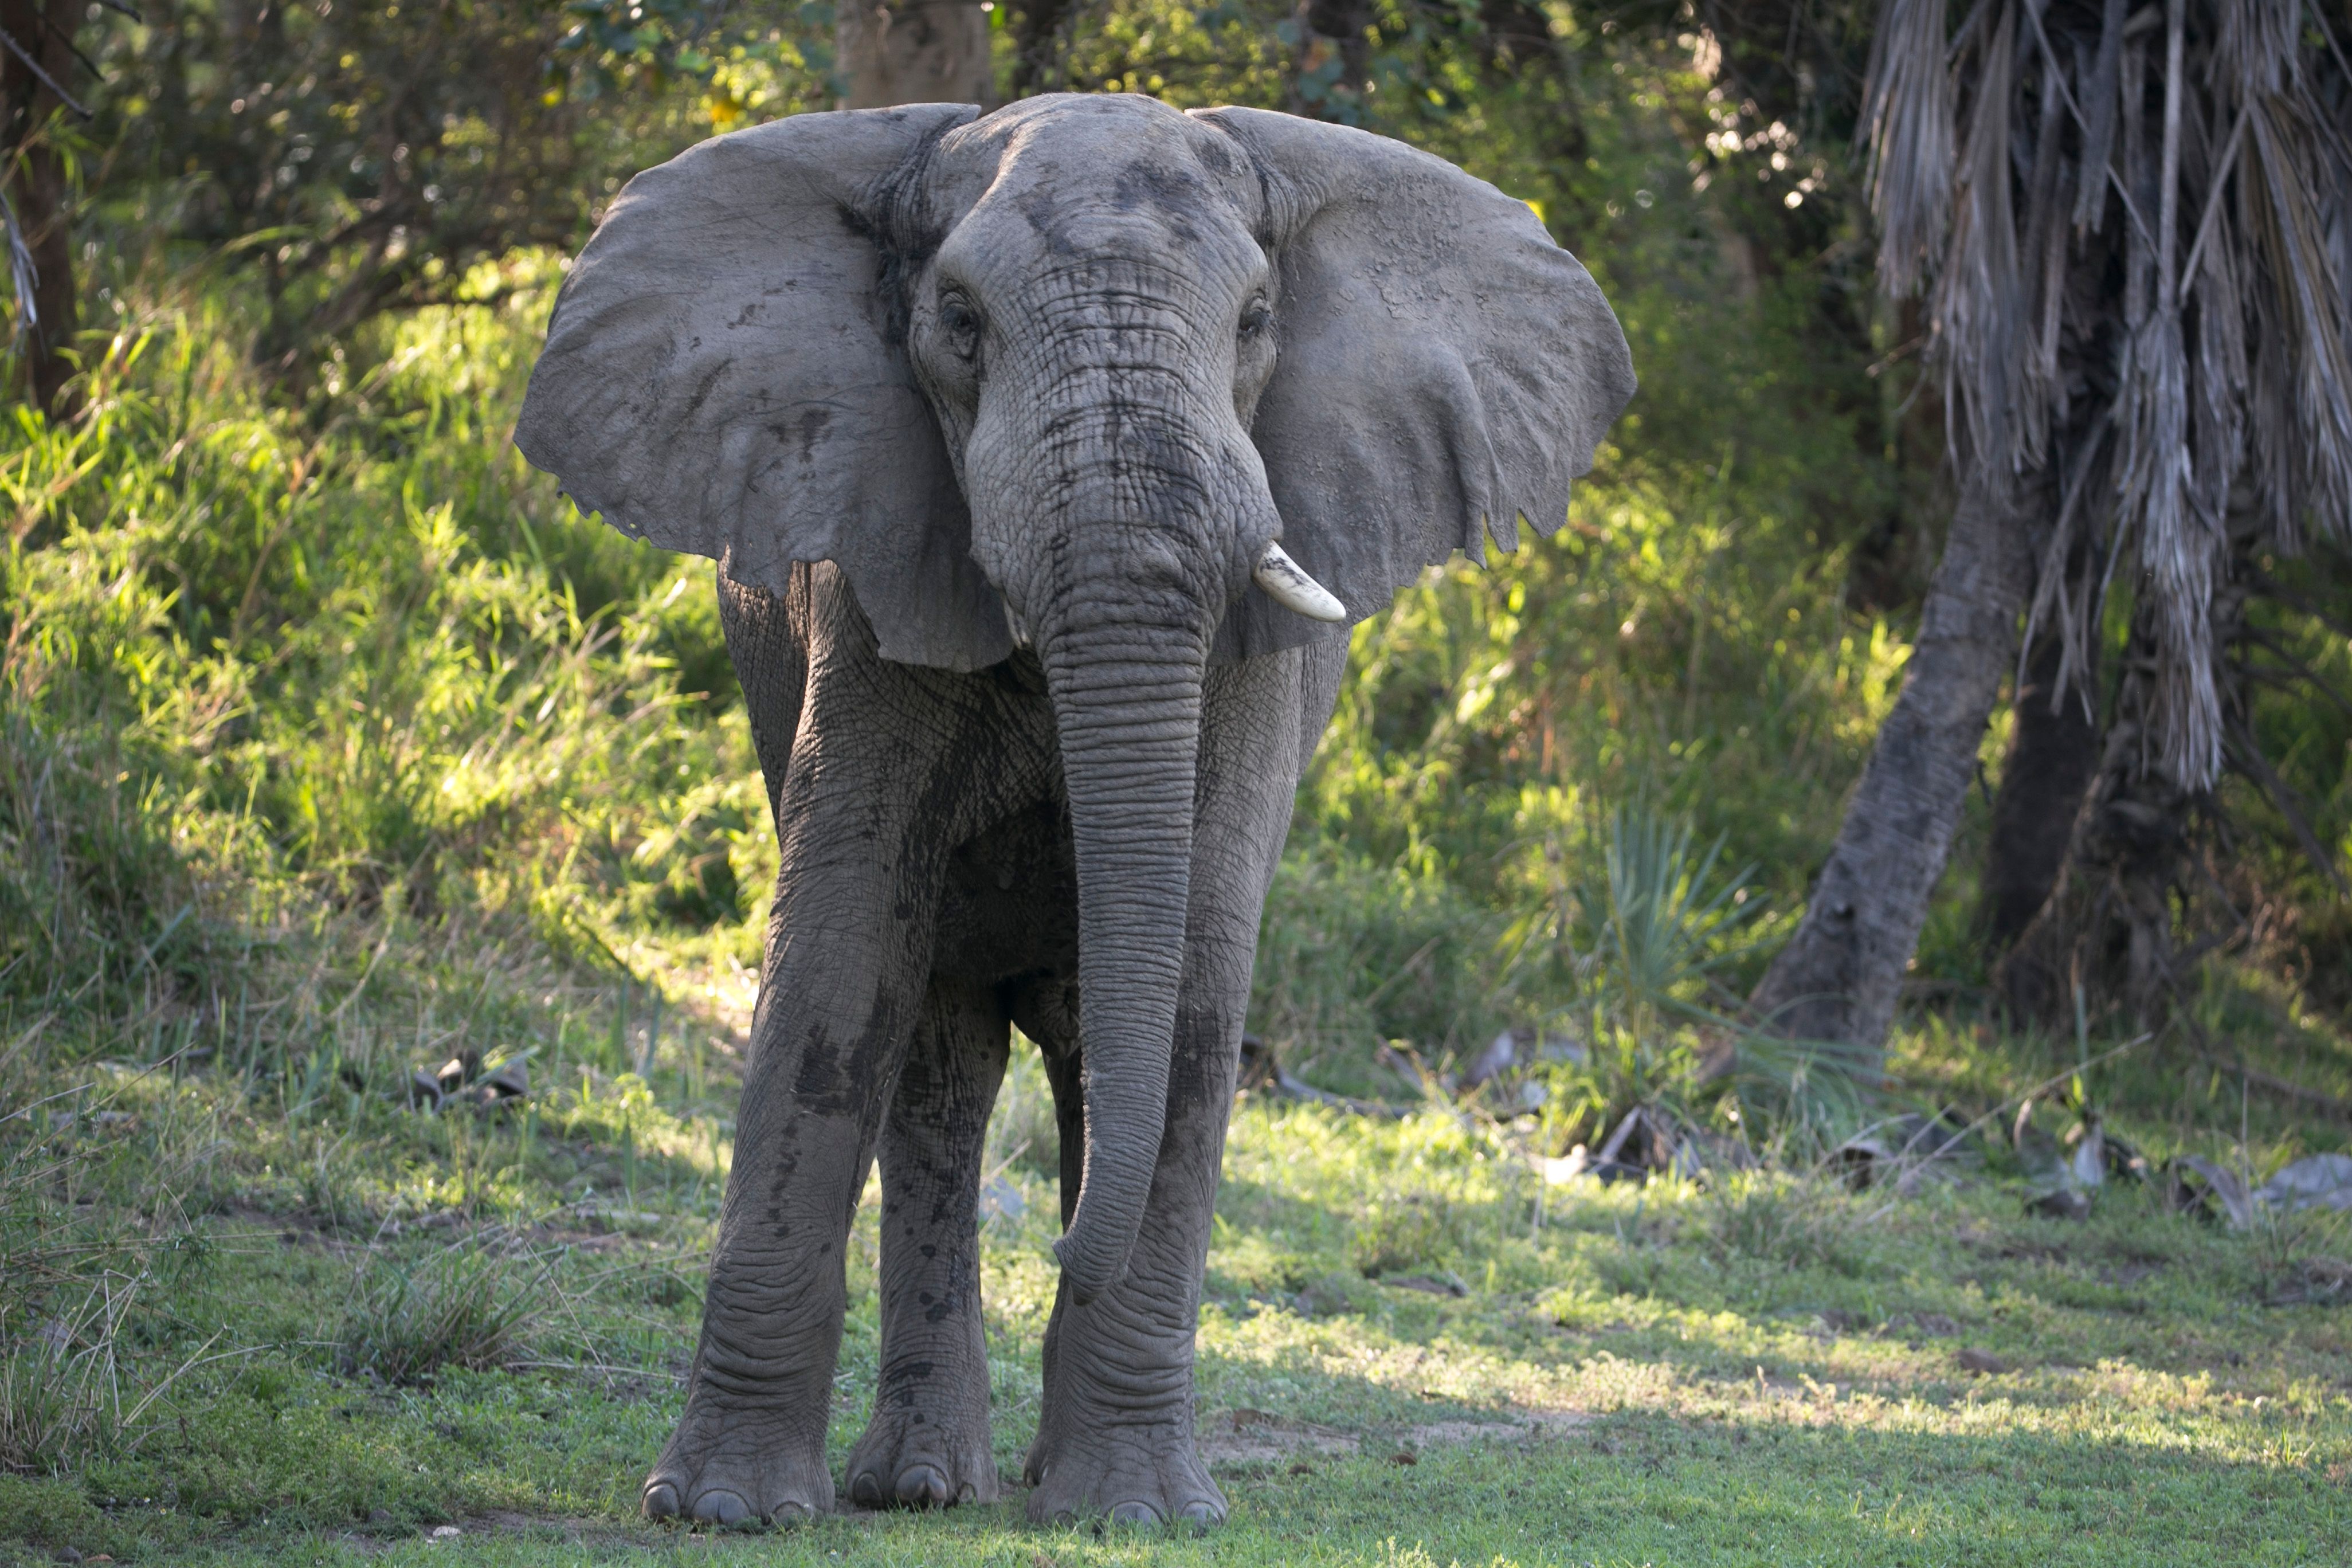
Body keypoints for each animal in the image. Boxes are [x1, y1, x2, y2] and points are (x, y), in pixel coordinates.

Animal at [514, 91, 1632, 1529]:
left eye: (1256, 319)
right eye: (958, 321)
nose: (1057, 1247)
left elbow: (1195, 983)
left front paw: (1134, 1515)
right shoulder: (868, 564)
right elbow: (839, 956)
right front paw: (719, 1511)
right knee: (940, 1067)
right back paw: (924, 1486)